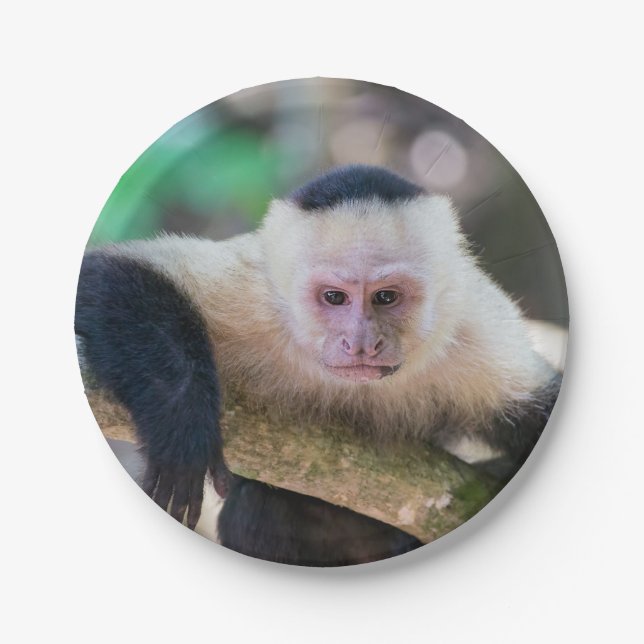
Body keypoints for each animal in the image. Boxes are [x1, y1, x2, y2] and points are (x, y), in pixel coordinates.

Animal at [75, 164, 562, 566]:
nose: (361, 344)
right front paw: (182, 426)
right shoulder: (256, 293)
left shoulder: (471, 328)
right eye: (334, 297)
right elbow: (106, 274)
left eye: (386, 296)